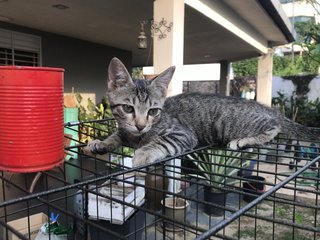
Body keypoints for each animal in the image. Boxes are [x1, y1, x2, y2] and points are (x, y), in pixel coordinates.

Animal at [84, 57, 320, 167]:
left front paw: (143, 153)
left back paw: (243, 141)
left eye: (153, 111)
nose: (141, 126)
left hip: (234, 124)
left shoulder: (184, 134)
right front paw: (101, 142)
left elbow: (162, 141)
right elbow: (117, 134)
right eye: (128, 108)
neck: (138, 137)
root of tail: (263, 106)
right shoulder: (126, 130)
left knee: (274, 127)